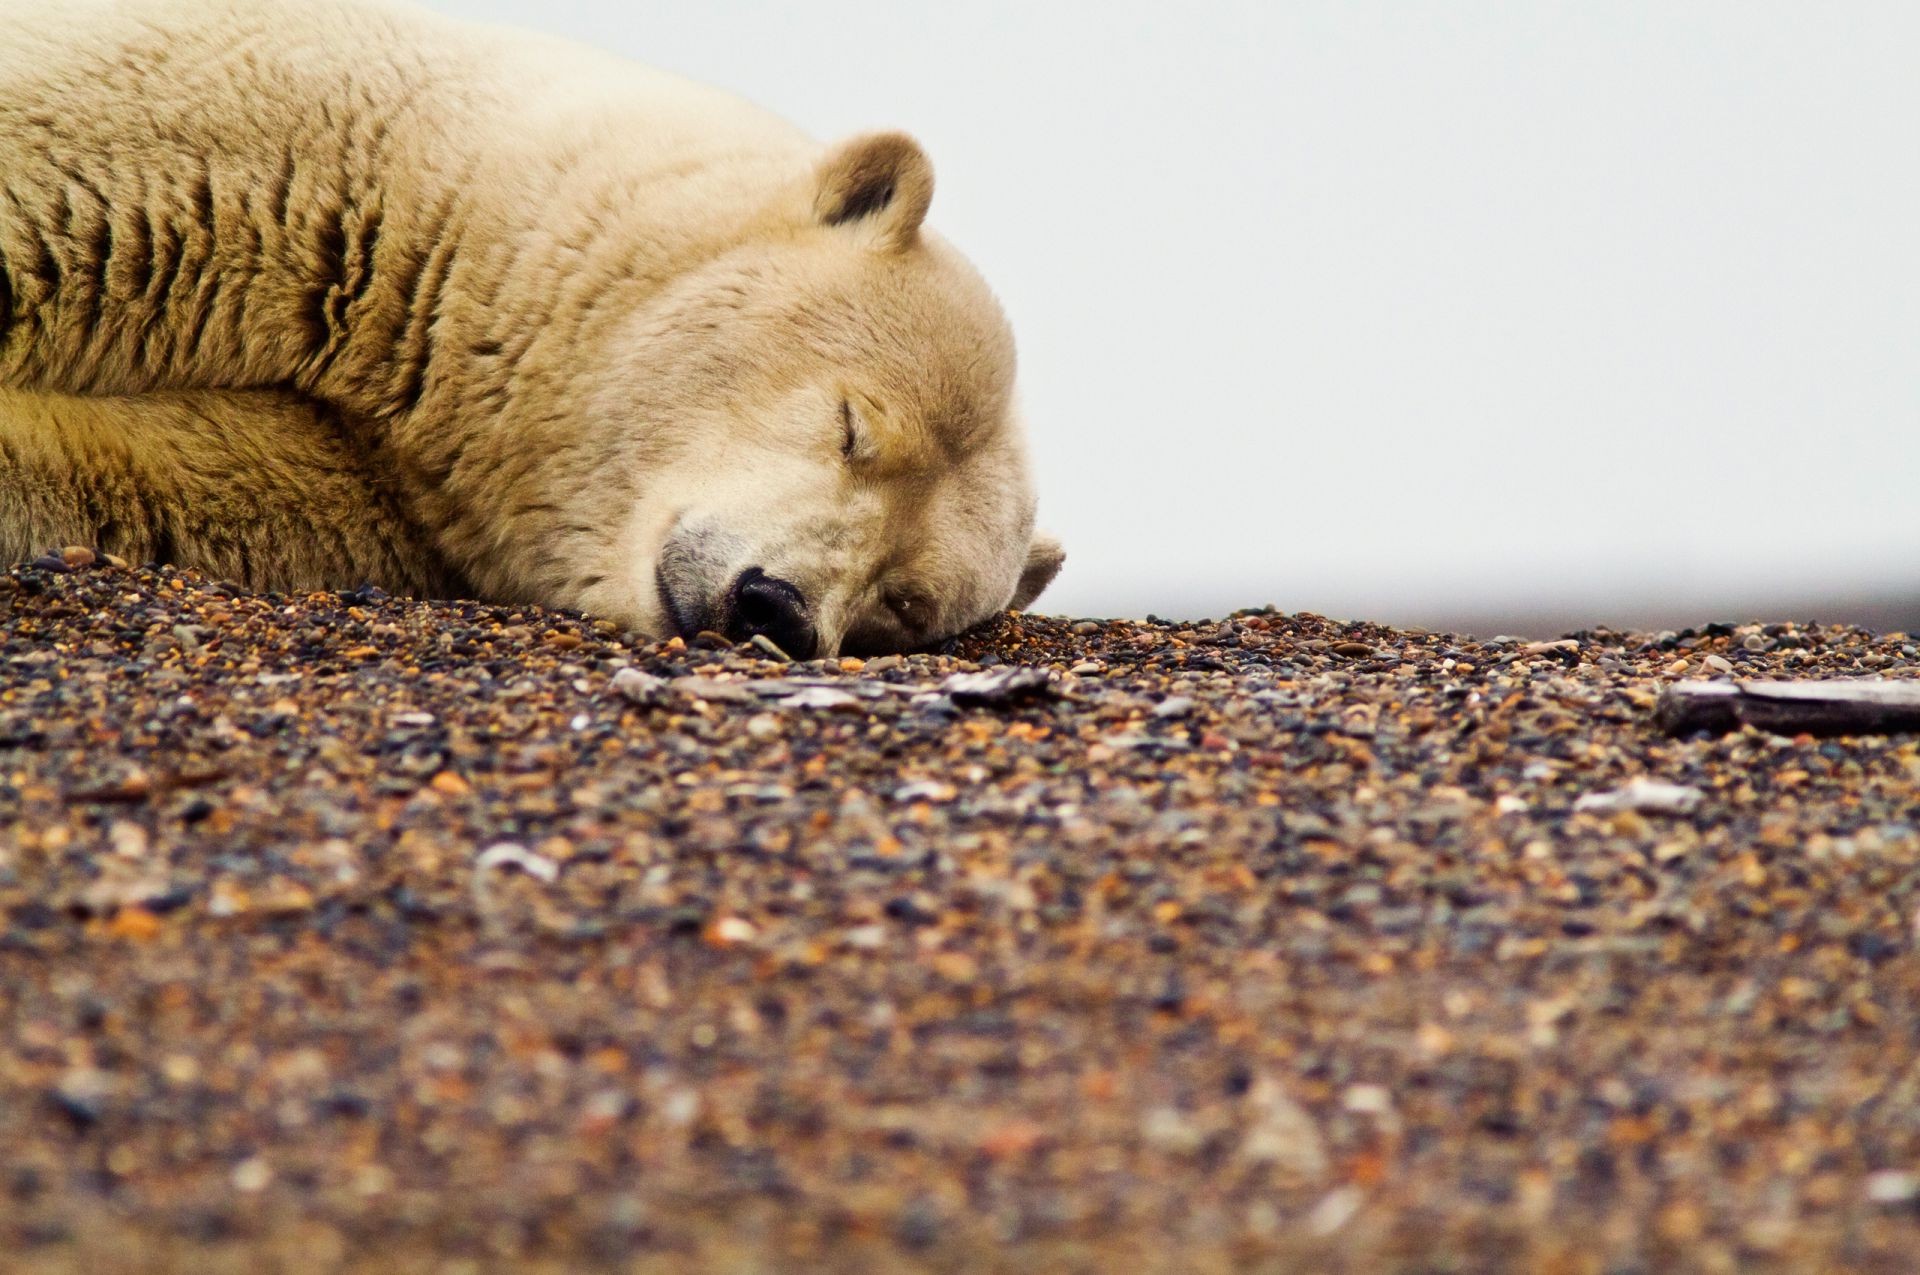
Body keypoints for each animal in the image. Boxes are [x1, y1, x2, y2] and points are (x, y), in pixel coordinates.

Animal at [0, 2, 1067, 656]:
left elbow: (153, 475)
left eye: (905, 601)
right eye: (853, 427)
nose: (776, 606)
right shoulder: (224, 117)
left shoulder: (378, 482)